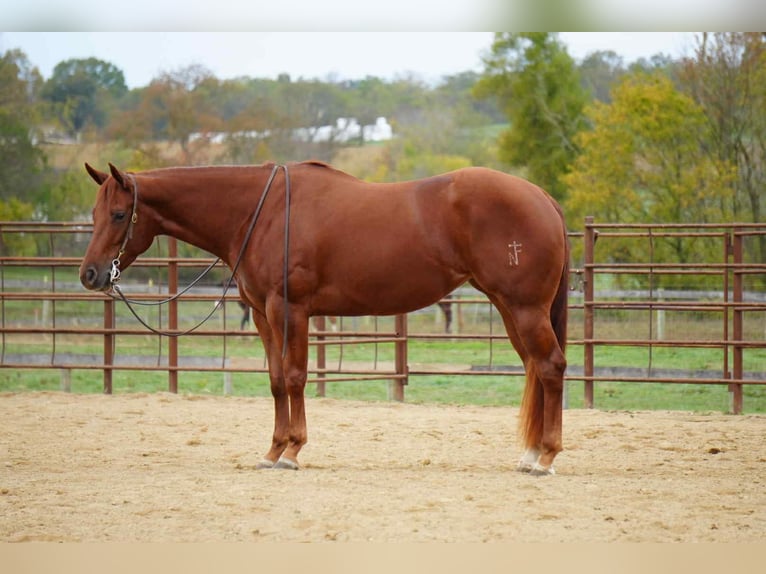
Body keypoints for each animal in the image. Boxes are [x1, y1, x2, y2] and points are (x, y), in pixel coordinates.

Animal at [79, 160, 569, 475]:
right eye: (94, 212)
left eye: (119, 214)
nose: (90, 274)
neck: (261, 212)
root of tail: (542, 196)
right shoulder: (263, 315)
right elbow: (277, 380)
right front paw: (273, 450)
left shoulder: (289, 309)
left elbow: (295, 376)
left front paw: (292, 451)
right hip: (510, 308)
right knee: (534, 368)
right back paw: (529, 455)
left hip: (524, 308)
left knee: (550, 367)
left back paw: (546, 457)